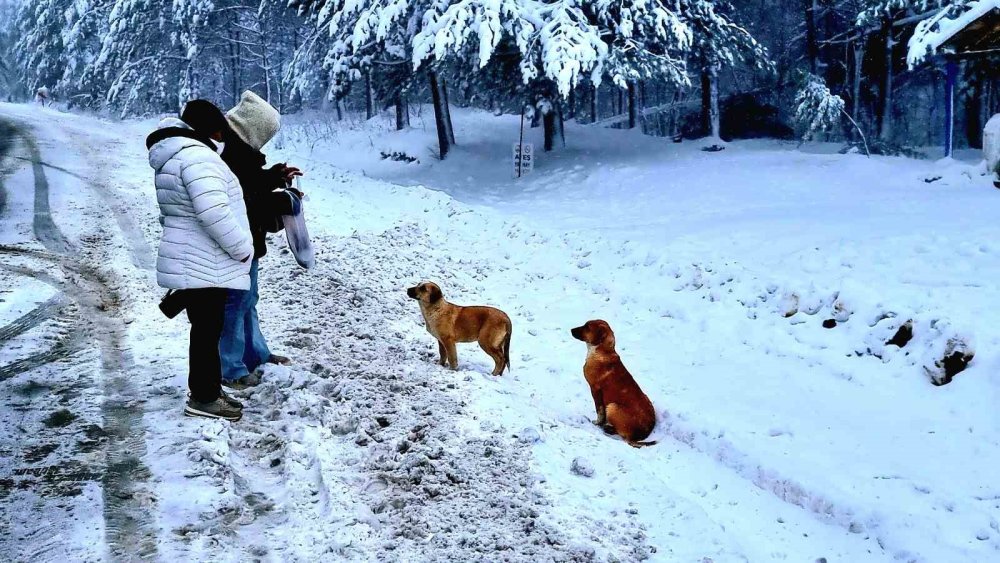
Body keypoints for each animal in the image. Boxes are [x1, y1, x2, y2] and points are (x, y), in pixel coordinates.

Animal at [572, 322, 656, 450]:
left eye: (587, 327)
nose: (571, 330)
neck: (602, 351)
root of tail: (636, 437)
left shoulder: (595, 389)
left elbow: (599, 410)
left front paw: (597, 423)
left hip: (612, 406)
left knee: (621, 434)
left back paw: (607, 428)